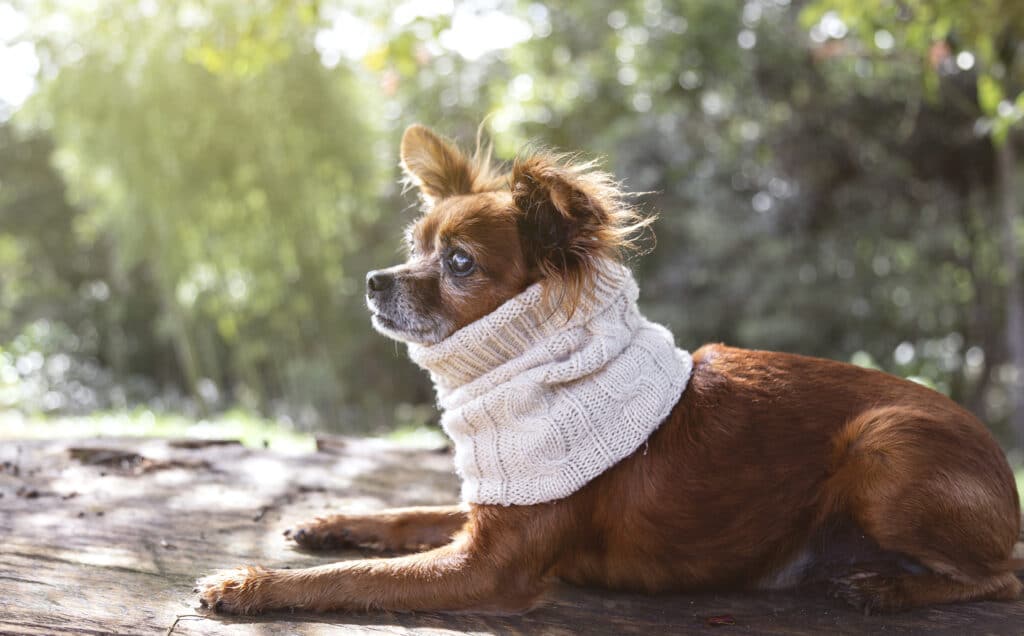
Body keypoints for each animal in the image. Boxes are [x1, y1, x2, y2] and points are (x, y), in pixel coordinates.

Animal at [197, 123, 1024, 614]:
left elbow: (354, 581)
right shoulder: (490, 507)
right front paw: (329, 520)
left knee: (1005, 573)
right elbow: (403, 516)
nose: (374, 280)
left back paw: (885, 585)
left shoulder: (488, 568)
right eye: (414, 246)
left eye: (458, 263)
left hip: (882, 444)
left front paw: (249, 582)